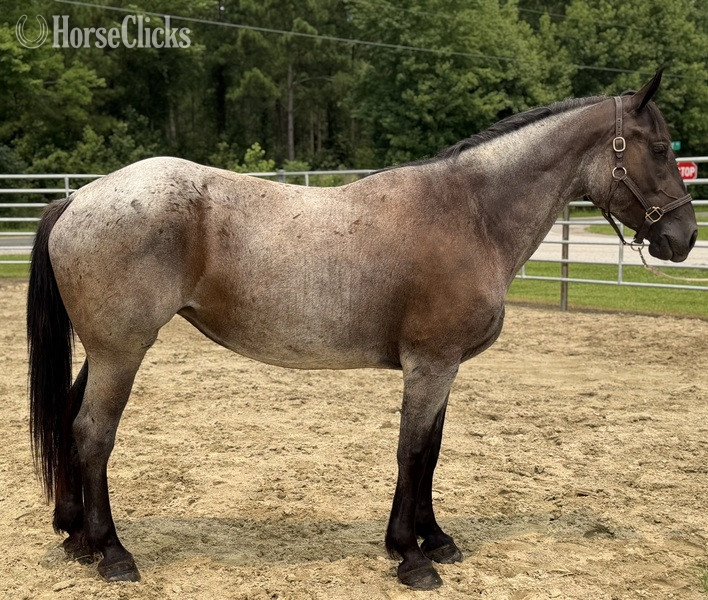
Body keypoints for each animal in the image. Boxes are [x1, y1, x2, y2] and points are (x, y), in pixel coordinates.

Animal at [27, 70, 696, 590]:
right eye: (660, 148)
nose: (684, 238)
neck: (471, 214)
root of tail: (82, 197)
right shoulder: (430, 364)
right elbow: (413, 450)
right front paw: (411, 556)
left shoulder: (443, 368)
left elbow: (431, 451)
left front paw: (435, 538)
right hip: (122, 351)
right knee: (93, 433)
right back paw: (112, 553)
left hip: (106, 350)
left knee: (69, 417)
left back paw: (76, 537)